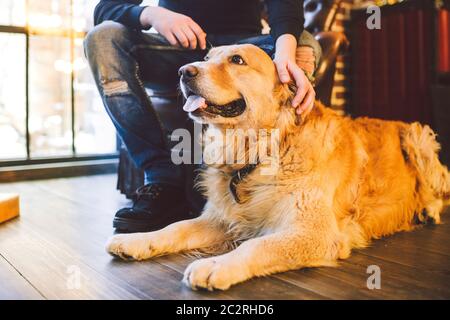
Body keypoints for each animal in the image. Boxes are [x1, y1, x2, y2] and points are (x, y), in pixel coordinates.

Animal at [108, 43, 450, 290]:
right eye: (206, 57)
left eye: (237, 60)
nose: (183, 71)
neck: (263, 151)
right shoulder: (222, 218)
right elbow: (176, 227)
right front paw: (137, 240)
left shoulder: (313, 232)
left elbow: (256, 246)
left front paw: (216, 266)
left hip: (418, 137)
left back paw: (428, 209)